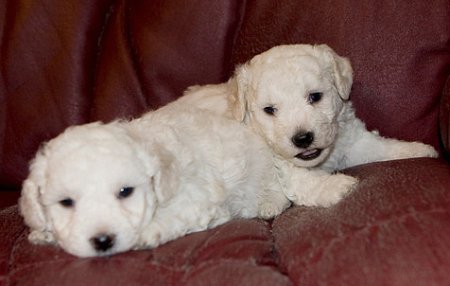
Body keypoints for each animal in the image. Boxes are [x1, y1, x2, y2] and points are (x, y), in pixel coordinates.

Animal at [19, 106, 290, 258]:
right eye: (66, 202)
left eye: (125, 192)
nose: (103, 241)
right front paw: (44, 234)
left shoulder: (197, 200)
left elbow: (173, 215)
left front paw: (149, 232)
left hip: (264, 174)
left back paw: (268, 205)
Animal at [178, 44, 438, 206]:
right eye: (270, 110)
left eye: (315, 97)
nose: (302, 138)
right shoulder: (285, 166)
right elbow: (308, 182)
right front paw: (340, 186)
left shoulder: (352, 142)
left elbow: (380, 148)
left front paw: (418, 150)